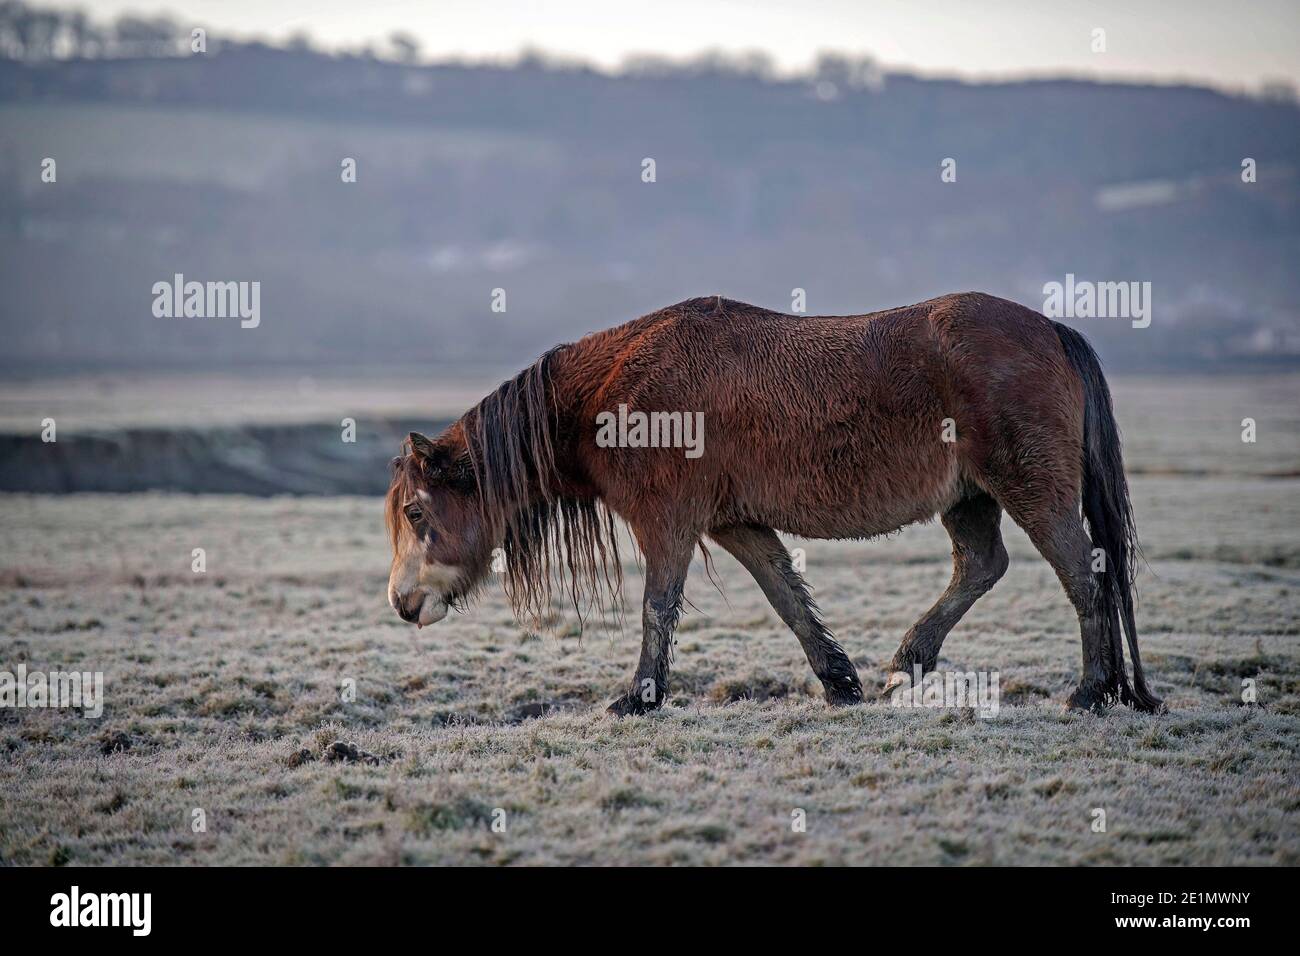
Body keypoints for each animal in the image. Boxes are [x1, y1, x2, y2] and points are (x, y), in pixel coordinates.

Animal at [384, 291, 1170, 717]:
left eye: (418, 514)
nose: (401, 602)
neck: (617, 392)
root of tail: (1051, 329)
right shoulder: (735, 523)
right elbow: (787, 598)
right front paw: (839, 680)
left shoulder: (668, 523)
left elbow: (658, 608)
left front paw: (639, 696)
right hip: (971, 498)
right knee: (982, 565)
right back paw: (910, 661)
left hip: (1031, 489)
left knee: (1081, 573)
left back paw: (1092, 690)